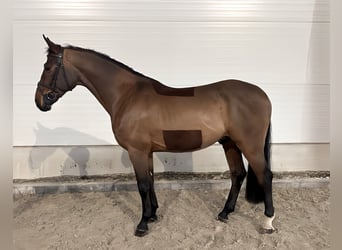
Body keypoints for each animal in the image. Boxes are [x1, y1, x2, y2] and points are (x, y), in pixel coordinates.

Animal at [34, 35, 276, 236]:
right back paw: (225, 213)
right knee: (238, 174)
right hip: (230, 143)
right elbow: (150, 181)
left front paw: (142, 224)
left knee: (265, 175)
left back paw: (268, 222)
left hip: (250, 145)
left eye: (48, 67)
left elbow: (141, 185)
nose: (40, 101)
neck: (126, 95)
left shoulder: (136, 151)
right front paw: (153, 215)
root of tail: (262, 95)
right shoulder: (146, 151)